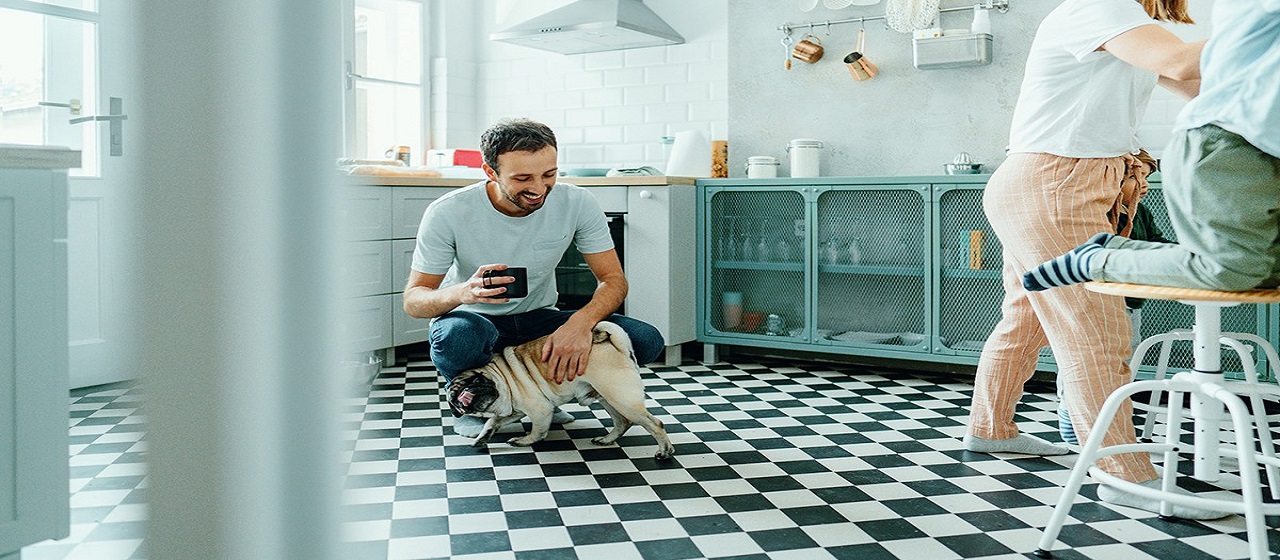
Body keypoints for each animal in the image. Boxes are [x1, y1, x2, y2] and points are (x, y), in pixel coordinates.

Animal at [445, 319, 675, 460]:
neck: (504, 376)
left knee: (655, 424)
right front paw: (483, 437)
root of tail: (616, 344)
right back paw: (606, 440)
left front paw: (524, 441)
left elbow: (537, 431)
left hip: (622, 398)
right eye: (453, 402)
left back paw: (664, 451)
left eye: (475, 379)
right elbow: (492, 422)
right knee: (622, 423)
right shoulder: (513, 412)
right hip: (608, 398)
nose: (460, 395)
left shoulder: (540, 410)